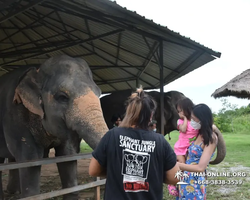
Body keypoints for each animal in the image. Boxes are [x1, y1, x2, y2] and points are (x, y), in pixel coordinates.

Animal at [0, 55, 108, 200]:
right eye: (62, 97)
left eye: (99, 93)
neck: (37, 70)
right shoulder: (15, 117)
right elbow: (29, 160)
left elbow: (68, 156)